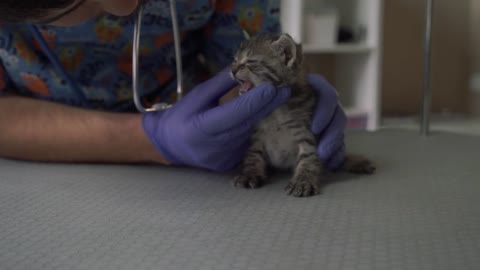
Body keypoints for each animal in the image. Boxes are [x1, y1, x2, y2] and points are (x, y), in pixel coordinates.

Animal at [230, 32, 376, 197]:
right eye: (234, 61)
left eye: (250, 61)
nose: (232, 70)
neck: (276, 110)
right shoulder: (256, 134)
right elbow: (253, 154)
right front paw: (250, 173)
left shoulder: (306, 131)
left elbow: (308, 157)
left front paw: (303, 180)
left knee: (339, 159)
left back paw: (356, 161)